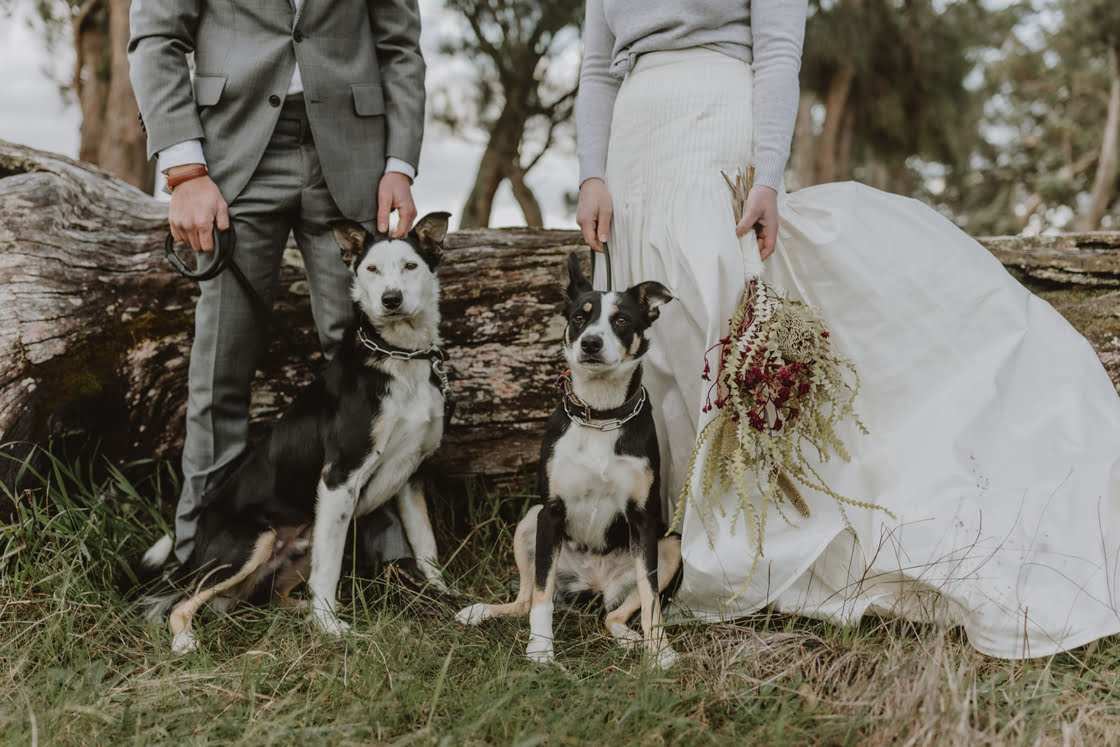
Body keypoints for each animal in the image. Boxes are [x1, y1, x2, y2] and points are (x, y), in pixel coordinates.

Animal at [136, 211, 453, 653]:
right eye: (371, 269)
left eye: (411, 266)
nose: (391, 300)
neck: (400, 356)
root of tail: (195, 549)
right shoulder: (340, 477)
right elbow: (330, 568)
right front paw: (330, 628)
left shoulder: (412, 473)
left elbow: (426, 544)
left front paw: (441, 592)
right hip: (255, 540)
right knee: (182, 602)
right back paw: (186, 641)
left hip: (303, 537)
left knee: (270, 597)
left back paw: (304, 611)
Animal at [456, 252, 681, 668]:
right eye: (579, 316)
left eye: (621, 320)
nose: (590, 342)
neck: (601, 415)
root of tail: (595, 579)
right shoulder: (551, 512)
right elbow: (542, 599)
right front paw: (541, 648)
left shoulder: (644, 520)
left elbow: (651, 597)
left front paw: (659, 650)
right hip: (529, 522)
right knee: (525, 599)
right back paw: (479, 611)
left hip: (669, 544)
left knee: (615, 614)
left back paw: (632, 639)